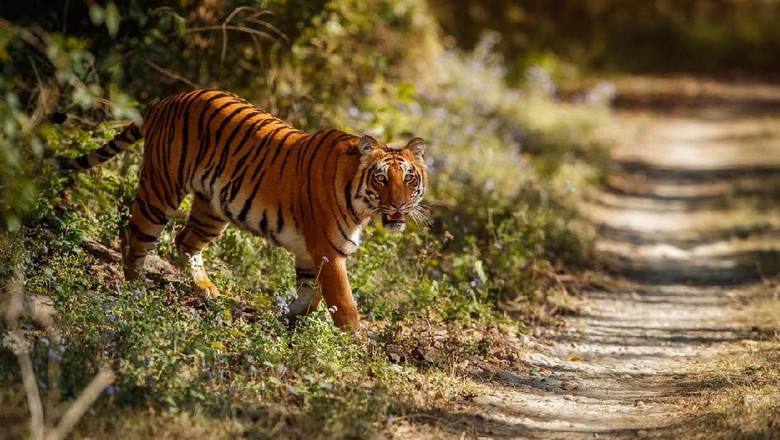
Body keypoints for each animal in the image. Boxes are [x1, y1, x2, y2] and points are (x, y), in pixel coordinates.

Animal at [58, 89, 430, 330]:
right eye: (381, 179)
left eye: (409, 178)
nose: (399, 205)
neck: (362, 205)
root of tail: (169, 98)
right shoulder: (328, 250)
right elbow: (345, 303)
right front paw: (354, 343)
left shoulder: (310, 252)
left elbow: (310, 295)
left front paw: (286, 317)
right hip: (160, 191)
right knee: (134, 239)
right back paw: (136, 292)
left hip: (213, 210)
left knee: (184, 240)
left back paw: (206, 290)